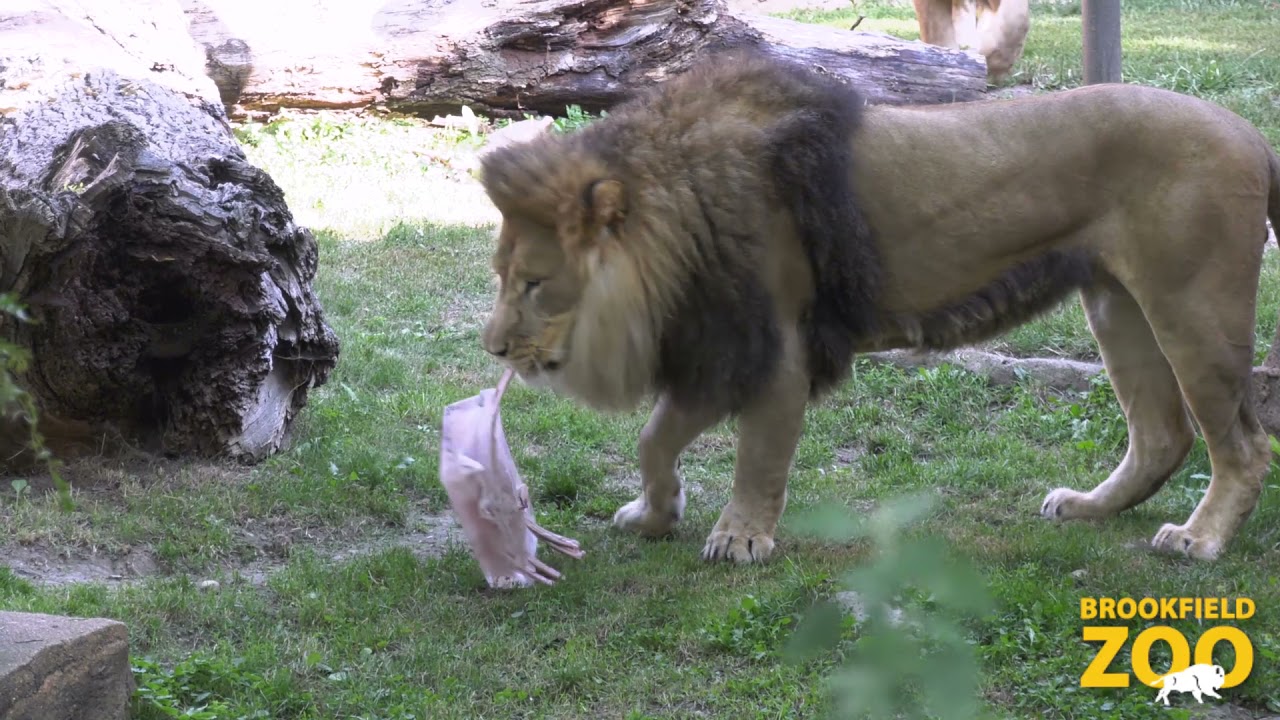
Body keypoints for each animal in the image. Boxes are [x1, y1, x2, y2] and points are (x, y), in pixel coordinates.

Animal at [477, 50, 1280, 565]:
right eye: (501, 275)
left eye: (534, 284)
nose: (493, 349)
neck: (680, 216)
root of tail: (1253, 134)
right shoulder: (724, 345)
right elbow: (654, 439)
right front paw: (654, 516)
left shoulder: (778, 349)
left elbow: (757, 456)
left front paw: (740, 538)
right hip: (1117, 306)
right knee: (1161, 435)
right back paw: (1089, 507)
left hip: (1193, 310)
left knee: (1242, 446)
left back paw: (1201, 540)